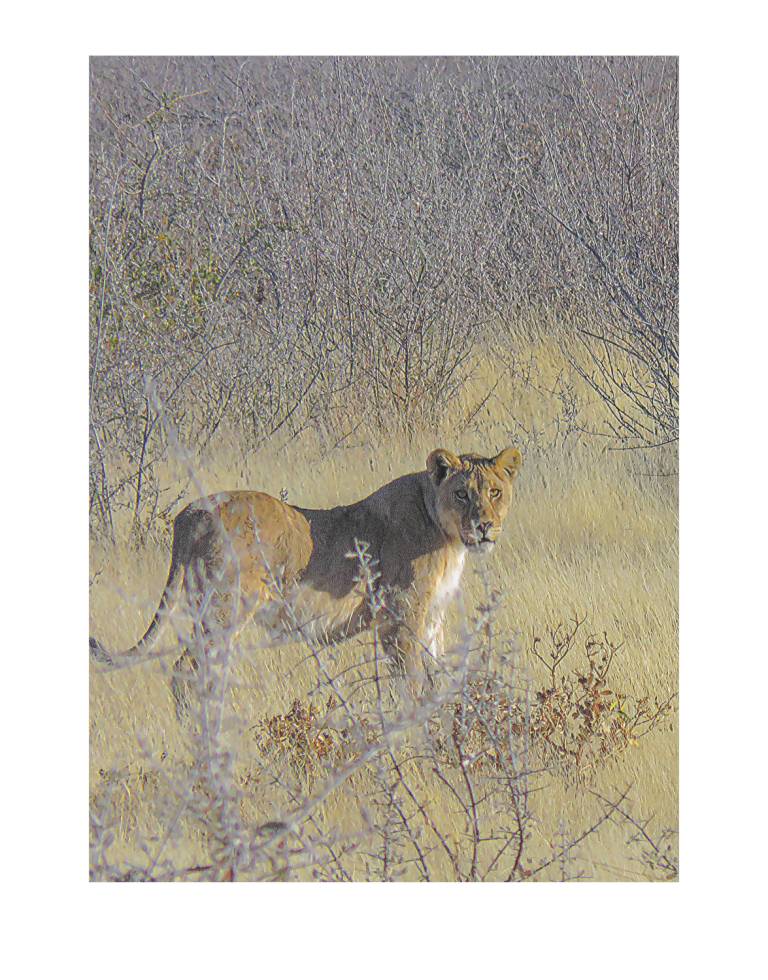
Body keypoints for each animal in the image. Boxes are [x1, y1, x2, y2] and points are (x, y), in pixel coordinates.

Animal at [90, 447, 522, 719]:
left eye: (495, 492)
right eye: (462, 494)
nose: (484, 526)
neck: (447, 535)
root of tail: (191, 512)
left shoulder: (431, 617)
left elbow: (438, 676)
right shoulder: (399, 617)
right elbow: (412, 683)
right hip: (225, 610)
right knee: (188, 670)